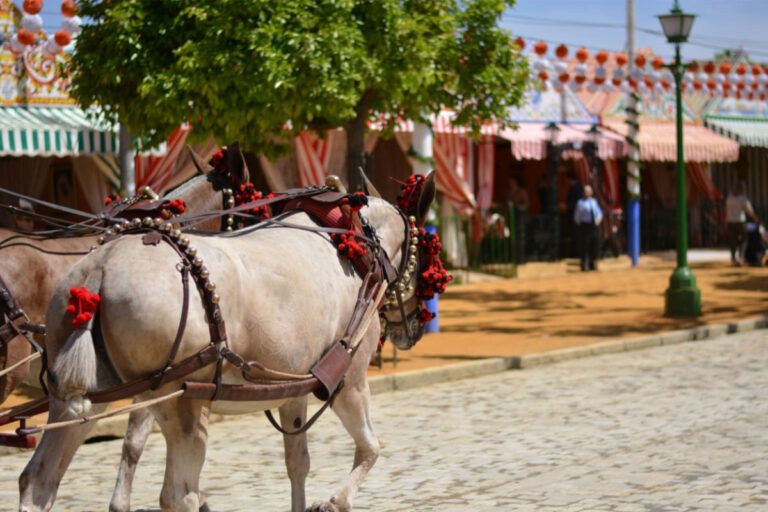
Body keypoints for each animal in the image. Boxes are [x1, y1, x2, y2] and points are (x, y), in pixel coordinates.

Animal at [18, 173, 436, 512]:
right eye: (426, 257)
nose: (414, 328)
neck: (355, 243)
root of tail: (97, 271)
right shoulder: (348, 381)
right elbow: (370, 447)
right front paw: (335, 501)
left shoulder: (293, 390)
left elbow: (297, 464)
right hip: (180, 401)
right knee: (179, 494)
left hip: (79, 400)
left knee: (38, 481)